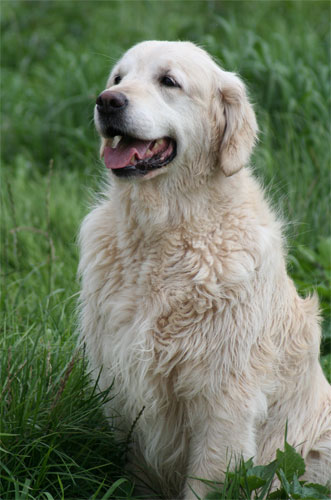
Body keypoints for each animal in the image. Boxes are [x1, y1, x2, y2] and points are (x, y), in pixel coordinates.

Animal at [78, 41, 331, 498]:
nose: (107, 102)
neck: (164, 233)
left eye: (169, 81)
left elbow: (208, 477)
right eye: (118, 78)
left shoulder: (224, 401)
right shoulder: (122, 388)